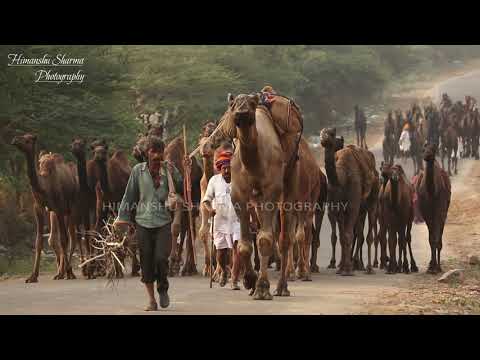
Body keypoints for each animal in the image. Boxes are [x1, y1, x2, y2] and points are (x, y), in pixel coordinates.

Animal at [11, 134, 79, 282]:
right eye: (23, 136)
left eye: (28, 140)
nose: (14, 140)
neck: (44, 185)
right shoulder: (39, 207)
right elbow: (38, 241)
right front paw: (32, 276)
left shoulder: (59, 206)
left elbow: (64, 239)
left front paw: (69, 272)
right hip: (56, 213)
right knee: (54, 238)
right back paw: (60, 272)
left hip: (72, 209)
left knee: (72, 238)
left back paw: (68, 272)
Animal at [223, 92, 302, 298]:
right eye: (233, 105)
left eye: (251, 104)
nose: (242, 113)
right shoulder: (238, 194)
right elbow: (244, 243)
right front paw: (250, 280)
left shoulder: (271, 190)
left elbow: (265, 239)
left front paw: (262, 287)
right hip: (257, 198)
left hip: (291, 175)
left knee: (284, 237)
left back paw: (282, 287)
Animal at [318, 129, 378, 276]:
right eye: (322, 132)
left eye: (332, 134)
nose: (323, 138)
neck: (342, 178)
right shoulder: (338, 208)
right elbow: (342, 236)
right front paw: (342, 268)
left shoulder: (352, 205)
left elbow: (348, 234)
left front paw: (348, 270)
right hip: (360, 209)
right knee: (358, 232)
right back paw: (356, 264)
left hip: (372, 201)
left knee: (368, 234)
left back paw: (368, 268)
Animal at [414, 143, 452, 272]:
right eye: (424, 149)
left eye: (433, 149)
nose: (426, 155)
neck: (432, 193)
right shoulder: (426, 213)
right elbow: (431, 239)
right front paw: (432, 266)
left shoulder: (440, 211)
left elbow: (437, 239)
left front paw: (438, 267)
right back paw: (431, 264)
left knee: (438, 235)